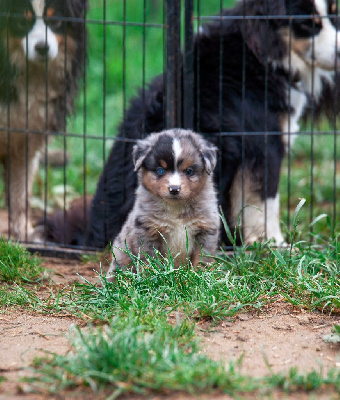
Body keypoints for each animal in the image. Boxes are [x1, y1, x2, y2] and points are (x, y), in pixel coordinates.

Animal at [0, 0, 86, 241]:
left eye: (55, 20)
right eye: (21, 20)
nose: (42, 48)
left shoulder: (24, 140)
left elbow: (20, 196)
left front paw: (23, 237)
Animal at [69, 0, 340, 248]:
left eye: (334, 13)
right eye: (308, 24)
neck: (260, 53)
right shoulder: (264, 143)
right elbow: (265, 201)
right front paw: (274, 245)